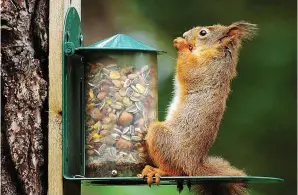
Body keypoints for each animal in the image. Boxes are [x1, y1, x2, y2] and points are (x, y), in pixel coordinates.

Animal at [139, 20, 258, 194]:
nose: (185, 34)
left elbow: (190, 70)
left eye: (203, 33)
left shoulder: (207, 69)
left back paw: (156, 171)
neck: (217, 52)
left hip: (162, 138)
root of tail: (193, 164)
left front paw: (181, 44)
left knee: (176, 170)